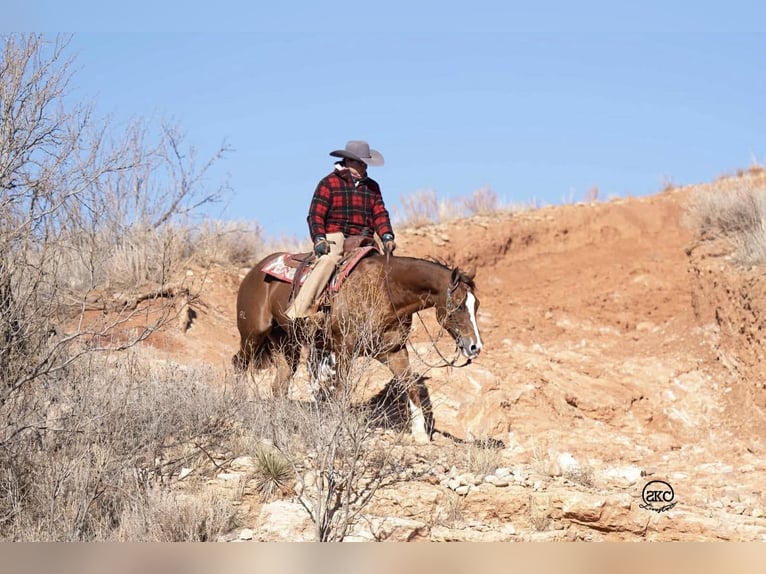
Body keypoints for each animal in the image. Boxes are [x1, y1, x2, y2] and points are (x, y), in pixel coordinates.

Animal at [232, 250, 483, 443]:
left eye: (476, 304)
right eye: (459, 305)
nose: (475, 346)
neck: (385, 290)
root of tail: (256, 270)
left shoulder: (394, 351)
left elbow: (410, 386)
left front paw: (420, 434)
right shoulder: (344, 349)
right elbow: (342, 390)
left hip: (285, 344)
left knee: (280, 384)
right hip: (252, 335)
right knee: (240, 364)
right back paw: (237, 405)